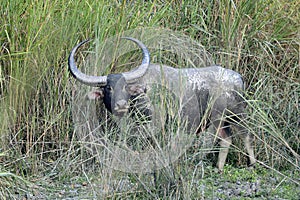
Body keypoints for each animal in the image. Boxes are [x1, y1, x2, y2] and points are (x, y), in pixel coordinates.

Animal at [68, 37, 255, 170]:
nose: (121, 105)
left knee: (245, 134)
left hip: (235, 114)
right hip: (223, 120)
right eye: (108, 88)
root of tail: (237, 77)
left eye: (126, 87)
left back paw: (251, 163)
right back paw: (219, 167)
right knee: (227, 139)